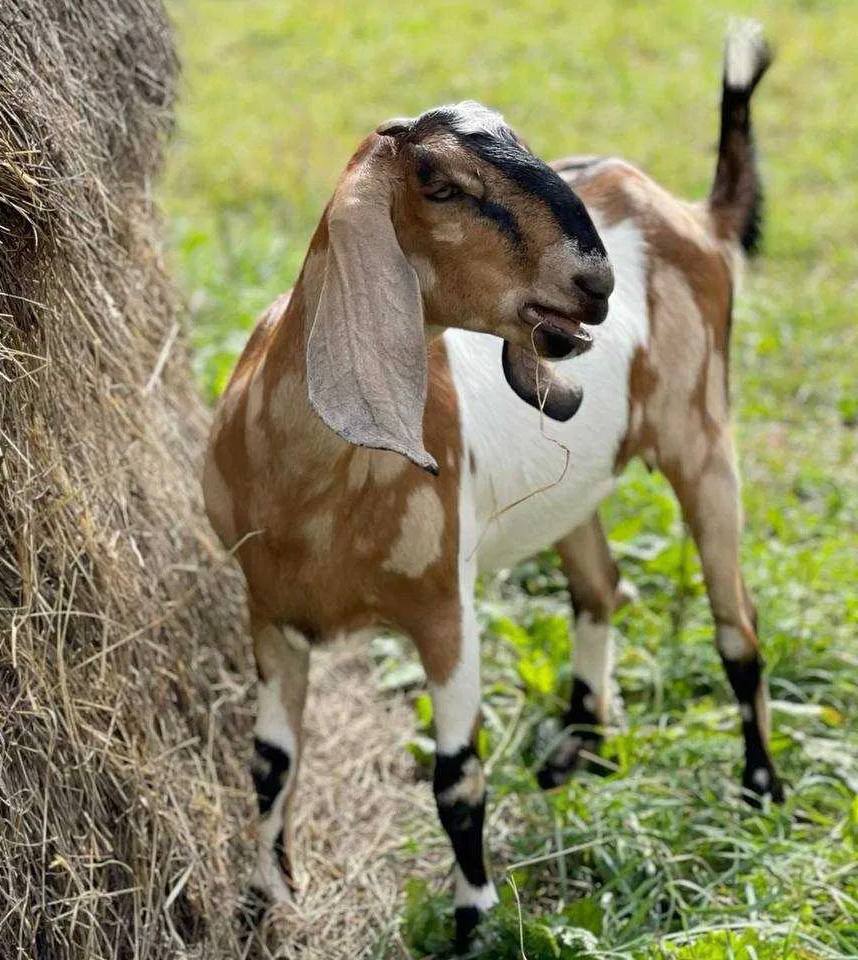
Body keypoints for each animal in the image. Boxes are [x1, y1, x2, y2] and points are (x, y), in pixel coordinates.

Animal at [203, 20, 777, 951]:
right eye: (440, 183)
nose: (594, 284)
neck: (314, 497)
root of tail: (692, 214)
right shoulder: (268, 610)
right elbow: (268, 765)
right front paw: (262, 899)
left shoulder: (448, 607)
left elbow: (457, 779)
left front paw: (472, 922)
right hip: (575, 487)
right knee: (600, 584)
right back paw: (580, 746)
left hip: (703, 434)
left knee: (738, 625)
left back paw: (760, 790)